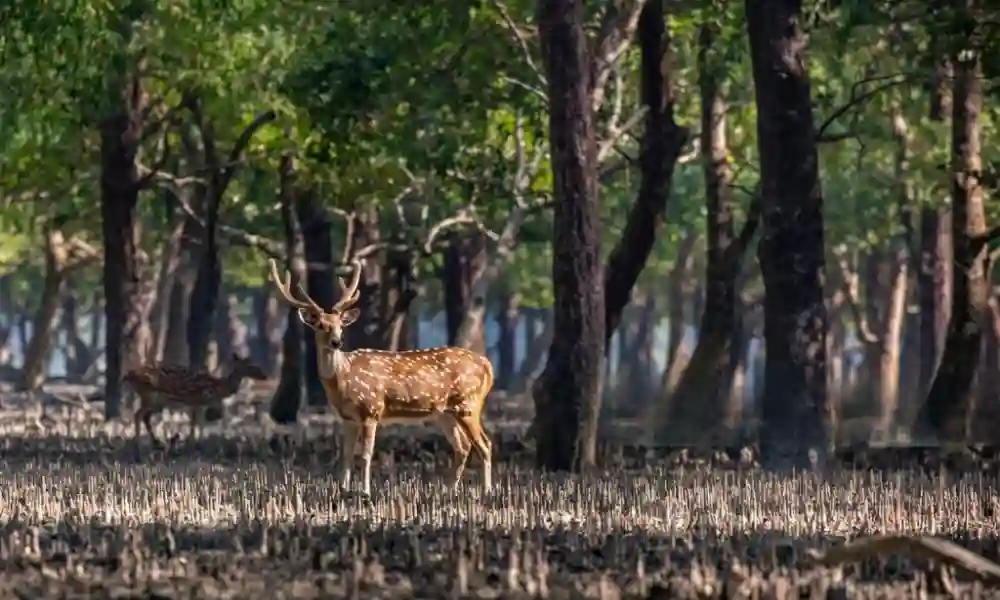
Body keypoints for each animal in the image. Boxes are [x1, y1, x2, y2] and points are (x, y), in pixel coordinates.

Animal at [123, 353, 268, 446]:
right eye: (252, 366)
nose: (265, 376)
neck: (216, 388)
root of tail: (128, 375)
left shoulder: (201, 404)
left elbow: (200, 423)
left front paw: (196, 442)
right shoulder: (195, 400)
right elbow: (195, 423)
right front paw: (193, 443)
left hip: (156, 400)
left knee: (145, 416)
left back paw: (155, 442)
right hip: (149, 394)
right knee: (138, 415)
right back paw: (137, 446)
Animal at [267, 258, 494, 500]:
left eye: (340, 325)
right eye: (320, 325)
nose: (337, 341)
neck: (342, 380)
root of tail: (487, 365)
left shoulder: (371, 409)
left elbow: (366, 454)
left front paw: (365, 492)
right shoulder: (347, 418)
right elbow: (346, 455)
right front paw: (343, 491)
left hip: (468, 404)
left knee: (484, 444)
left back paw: (487, 491)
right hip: (445, 413)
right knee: (463, 447)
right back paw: (449, 490)